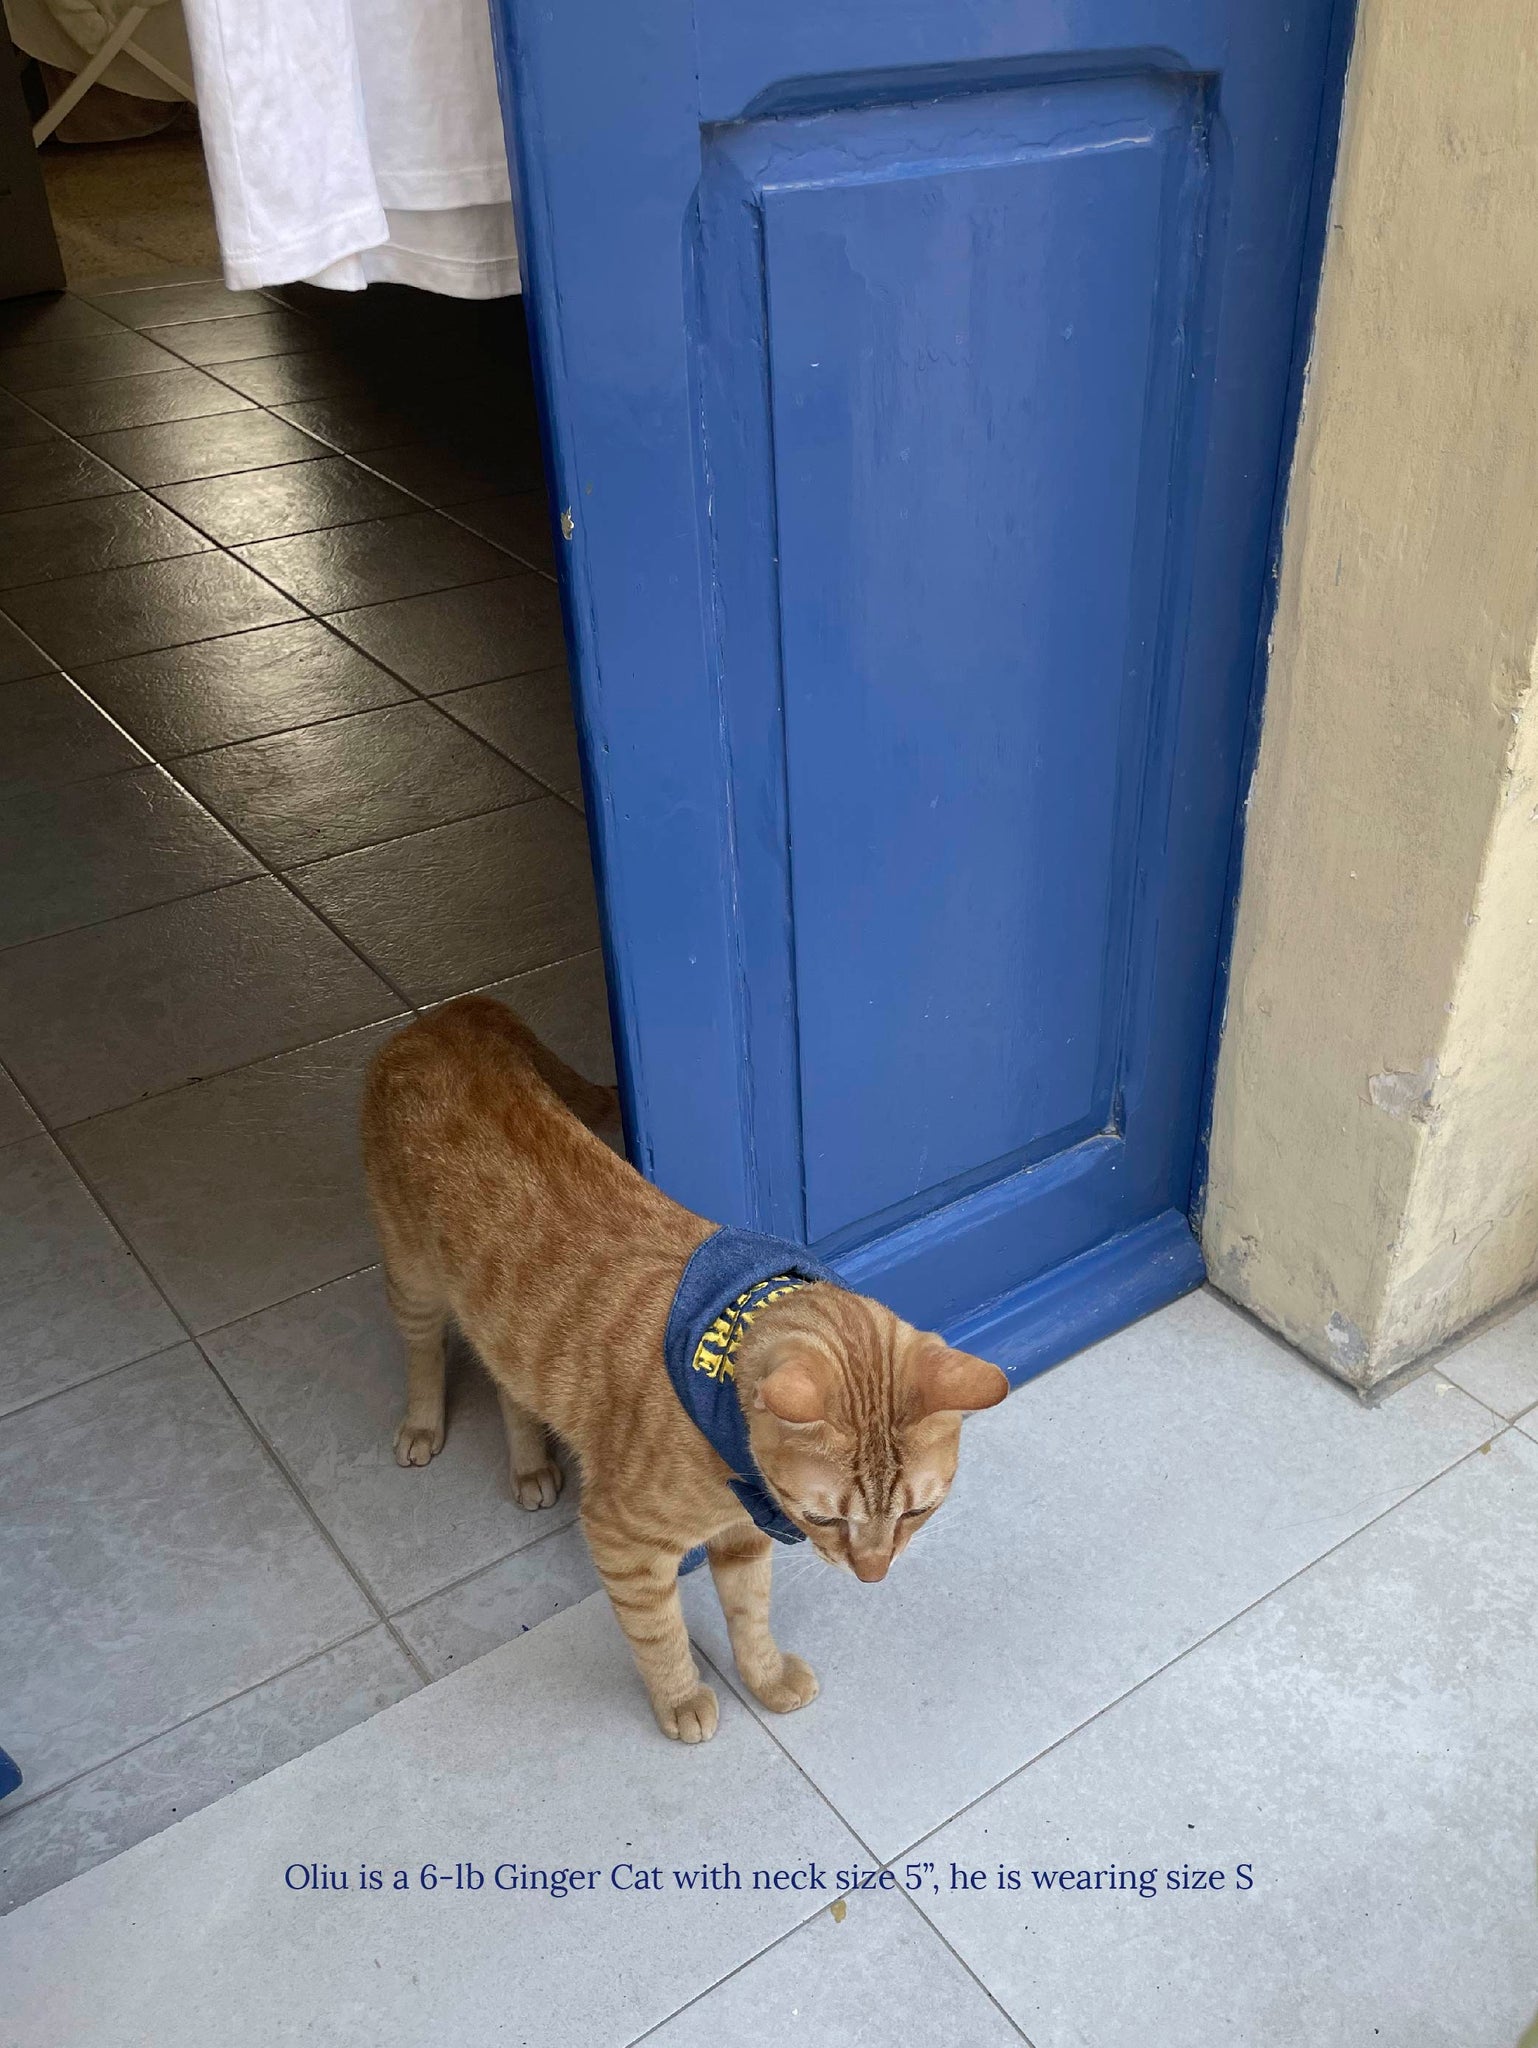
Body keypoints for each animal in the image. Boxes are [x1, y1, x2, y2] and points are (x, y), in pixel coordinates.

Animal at [360, 999, 1011, 1736]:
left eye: (918, 1512)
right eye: (823, 1520)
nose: (872, 1576)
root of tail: (448, 1016)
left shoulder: (742, 1538)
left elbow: (751, 1618)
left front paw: (765, 1678)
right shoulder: (623, 1543)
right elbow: (660, 1634)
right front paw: (679, 1699)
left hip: (504, 1332)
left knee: (509, 1386)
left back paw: (529, 1465)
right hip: (411, 1276)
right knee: (421, 1348)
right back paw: (422, 1424)